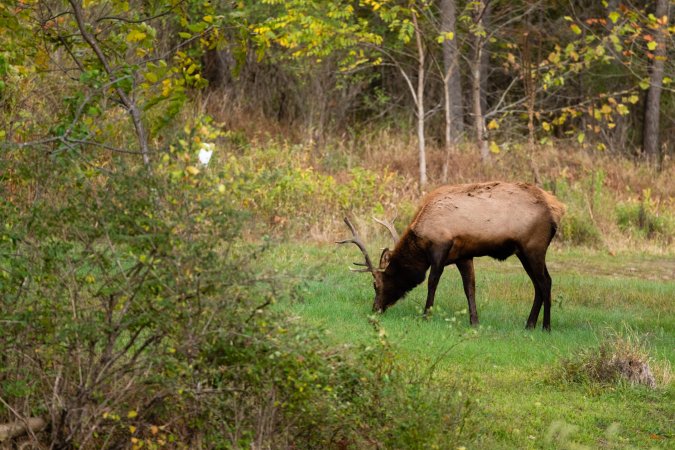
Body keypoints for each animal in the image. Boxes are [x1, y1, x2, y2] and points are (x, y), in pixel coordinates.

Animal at [336, 181, 564, 332]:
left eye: (376, 284)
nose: (375, 309)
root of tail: (556, 210)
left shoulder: (440, 248)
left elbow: (432, 282)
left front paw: (426, 315)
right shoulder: (464, 256)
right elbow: (470, 288)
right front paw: (474, 322)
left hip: (533, 247)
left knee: (545, 282)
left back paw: (546, 326)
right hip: (524, 252)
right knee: (540, 284)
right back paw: (529, 324)